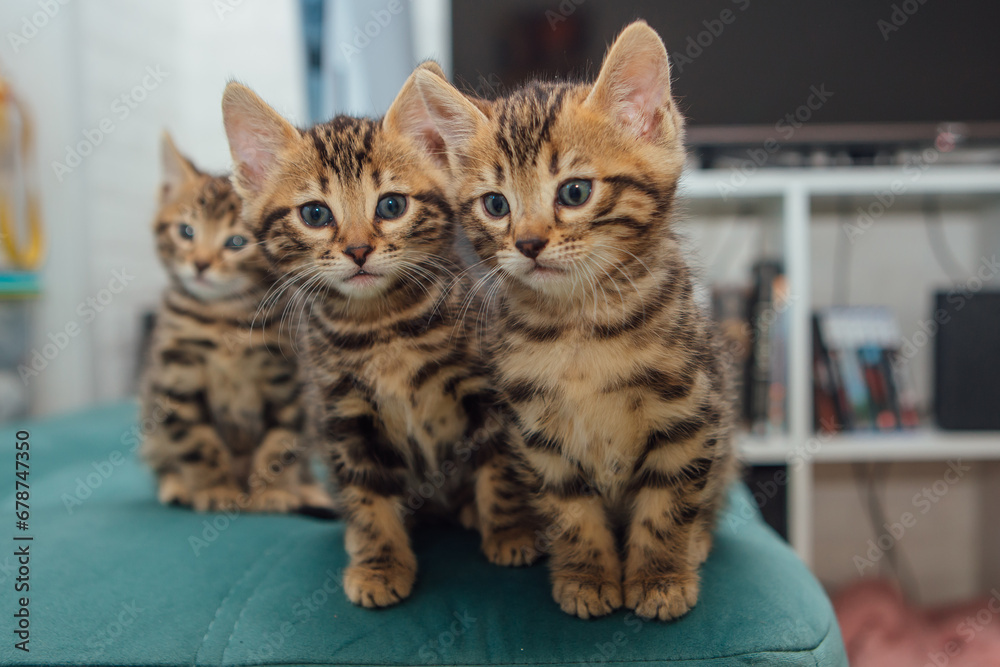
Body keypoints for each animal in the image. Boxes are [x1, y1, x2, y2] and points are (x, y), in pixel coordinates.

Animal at [141, 133, 330, 516]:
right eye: (186, 232)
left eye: (237, 242)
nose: (200, 264)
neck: (223, 317)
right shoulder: (175, 379)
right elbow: (197, 443)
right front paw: (215, 489)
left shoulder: (290, 380)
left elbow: (281, 442)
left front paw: (274, 492)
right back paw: (177, 484)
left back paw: (308, 490)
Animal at [224, 62, 544, 612]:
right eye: (315, 214)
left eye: (391, 205)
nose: (357, 250)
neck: (380, 328)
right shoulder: (344, 417)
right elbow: (367, 497)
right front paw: (379, 564)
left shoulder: (488, 394)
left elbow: (500, 466)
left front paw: (511, 531)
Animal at [414, 24, 736, 620]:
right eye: (496, 204)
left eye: (575, 192)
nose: (528, 243)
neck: (579, 327)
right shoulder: (536, 434)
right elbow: (570, 512)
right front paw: (586, 576)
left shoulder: (689, 415)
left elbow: (668, 504)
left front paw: (660, 577)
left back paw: (697, 542)